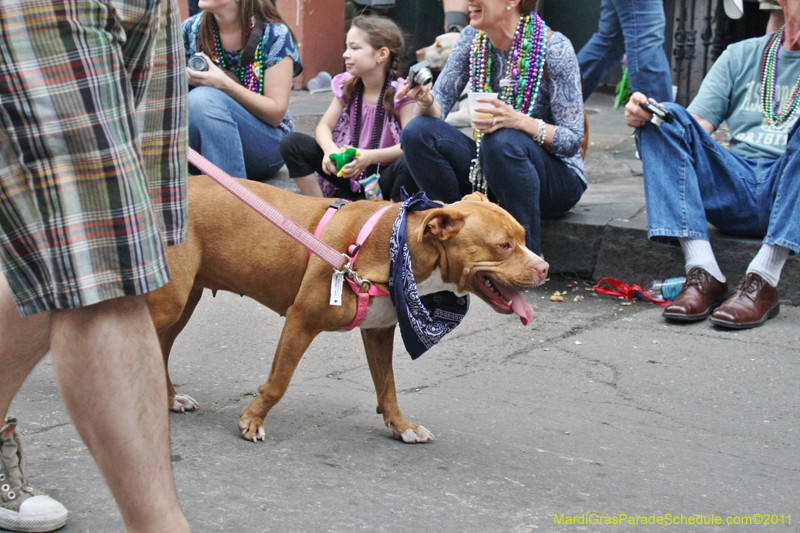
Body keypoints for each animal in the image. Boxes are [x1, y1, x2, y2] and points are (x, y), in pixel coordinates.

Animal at [145, 177, 552, 442]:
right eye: (503, 245)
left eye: (523, 236)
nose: (545, 268)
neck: (401, 248)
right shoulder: (301, 320)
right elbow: (279, 382)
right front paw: (252, 420)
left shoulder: (378, 331)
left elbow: (387, 386)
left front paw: (402, 427)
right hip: (171, 302)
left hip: (183, 300)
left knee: (159, 349)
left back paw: (168, 398)